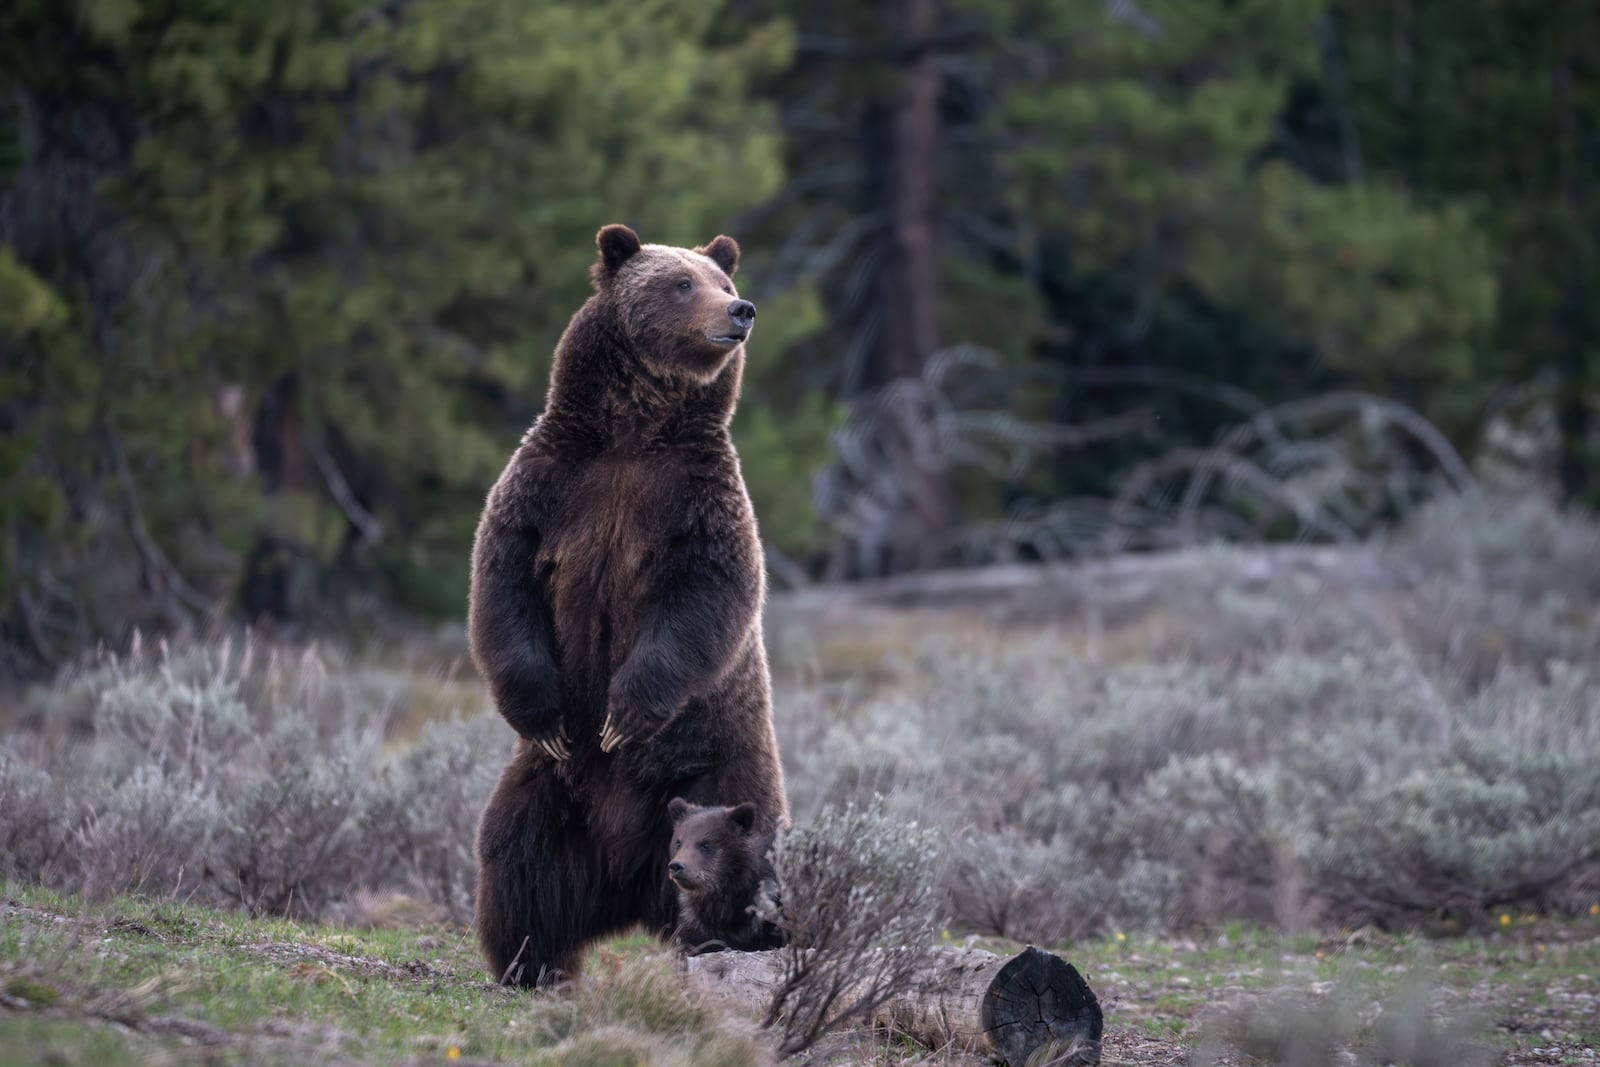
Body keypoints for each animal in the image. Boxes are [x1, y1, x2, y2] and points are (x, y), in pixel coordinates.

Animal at [467, 223, 790, 985]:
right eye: (681, 283)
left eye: (724, 282)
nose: (742, 311)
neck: (633, 433)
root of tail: (630, 882)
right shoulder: (550, 486)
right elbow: (504, 585)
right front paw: (547, 713)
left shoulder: (696, 502)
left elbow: (706, 598)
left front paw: (624, 715)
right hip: (552, 794)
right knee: (517, 860)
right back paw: (530, 962)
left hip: (721, 772)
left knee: (748, 856)